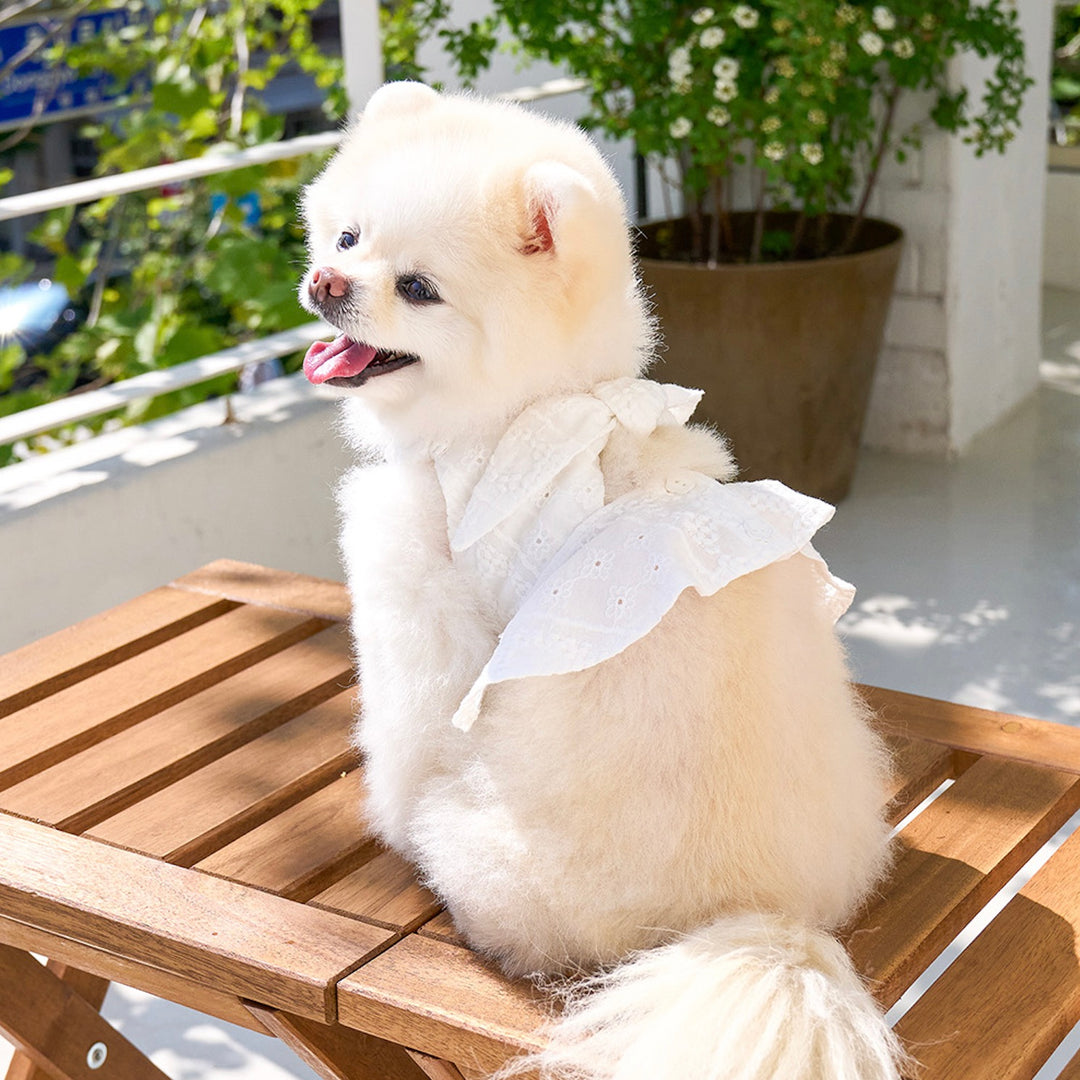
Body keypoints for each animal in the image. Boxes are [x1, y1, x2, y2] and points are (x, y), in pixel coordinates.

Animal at [299, 81, 903, 1080]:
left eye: (419, 288)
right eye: (348, 237)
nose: (327, 284)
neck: (530, 411)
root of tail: (754, 916)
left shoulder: (416, 603)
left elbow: (402, 733)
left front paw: (380, 817)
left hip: (480, 835)